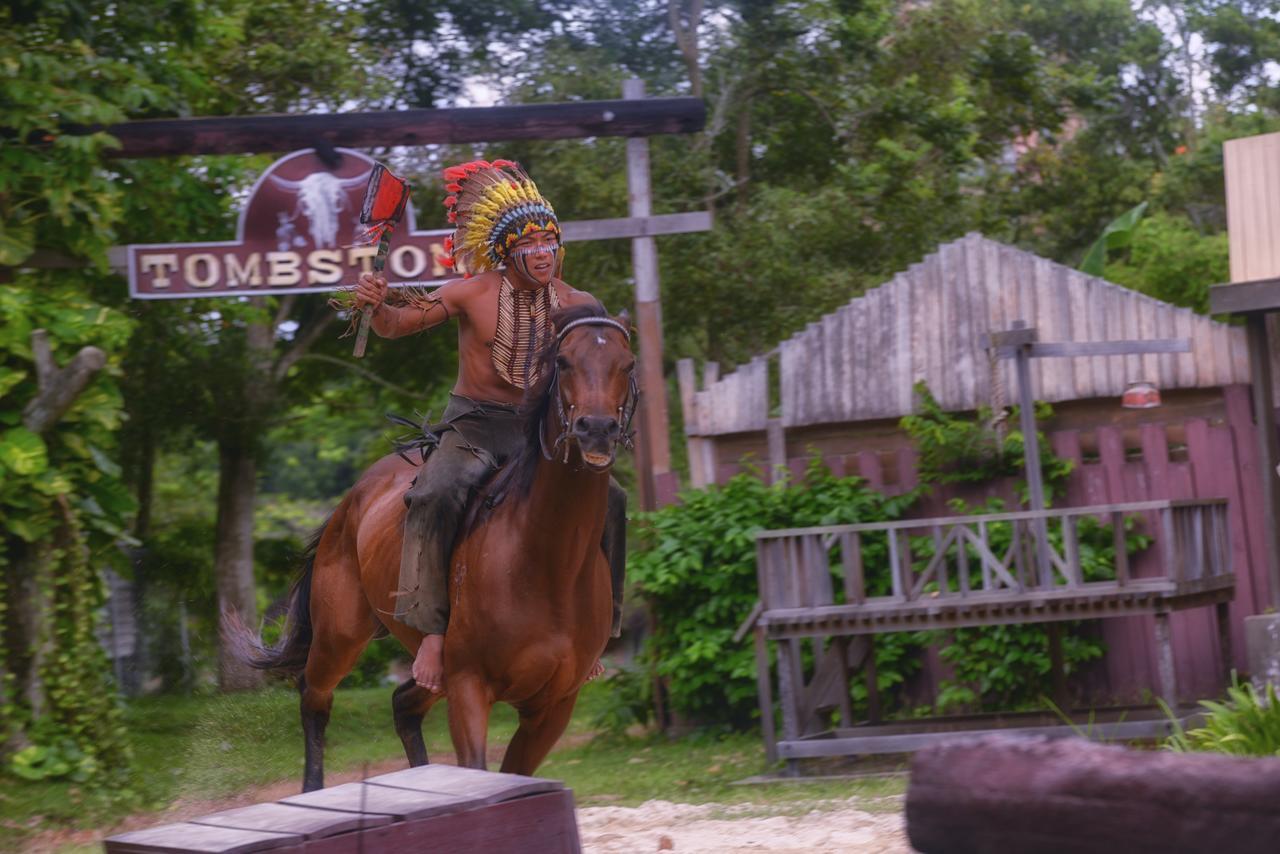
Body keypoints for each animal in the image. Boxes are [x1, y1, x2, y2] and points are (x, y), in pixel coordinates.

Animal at [229, 303, 634, 793]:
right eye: (564, 362)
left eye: (628, 364)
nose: (596, 429)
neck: (547, 562)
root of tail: (351, 500)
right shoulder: (468, 686)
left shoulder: (554, 705)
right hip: (339, 636)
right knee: (314, 696)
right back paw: (311, 790)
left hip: (427, 674)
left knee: (403, 705)